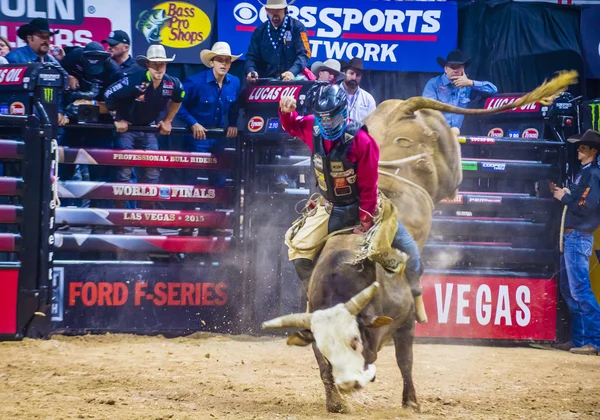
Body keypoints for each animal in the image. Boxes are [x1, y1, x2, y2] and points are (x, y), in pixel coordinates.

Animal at [262, 71, 576, 414]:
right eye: (330, 346)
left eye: (354, 340)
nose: (350, 383)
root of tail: (403, 108)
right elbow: (322, 367)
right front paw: (336, 401)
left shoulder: (406, 321)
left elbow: (405, 360)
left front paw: (410, 401)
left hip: (449, 166)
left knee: (453, 165)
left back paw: (456, 139)